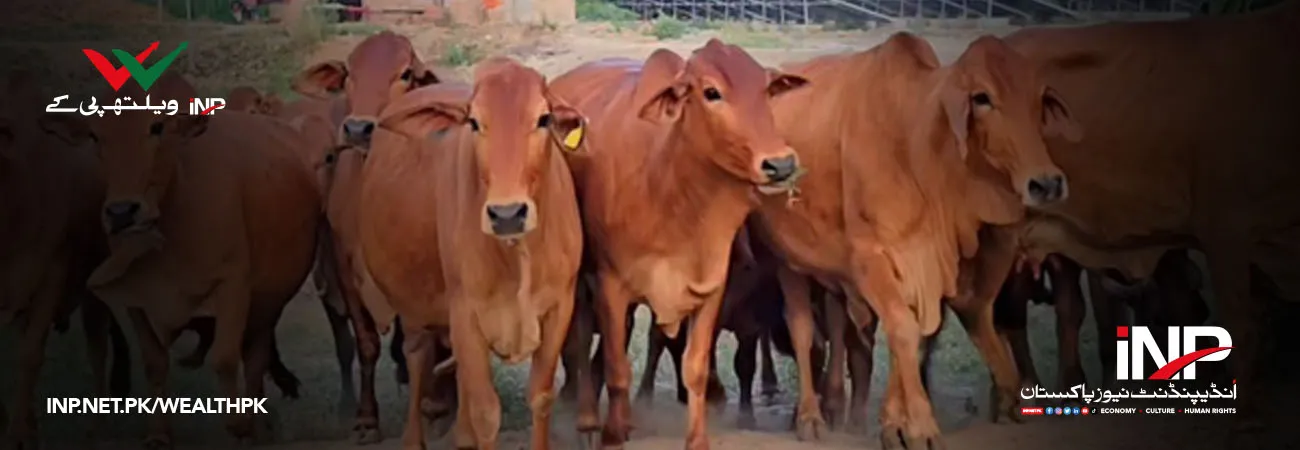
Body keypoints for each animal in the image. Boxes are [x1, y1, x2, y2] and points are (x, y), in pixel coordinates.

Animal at [2, 72, 130, 449]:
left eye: (6, 129)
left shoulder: (51, 272)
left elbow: (30, 355)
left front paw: (16, 435)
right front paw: (20, 428)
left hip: (92, 294)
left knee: (97, 350)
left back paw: (96, 427)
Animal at [37, 73, 322, 447]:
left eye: (156, 126)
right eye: (96, 135)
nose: (121, 212)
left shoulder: (233, 287)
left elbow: (225, 359)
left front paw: (239, 425)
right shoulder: (135, 298)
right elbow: (154, 363)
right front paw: (159, 434)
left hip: (267, 305)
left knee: (254, 356)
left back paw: (257, 422)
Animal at [358, 57, 586, 450]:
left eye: (543, 119)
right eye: (474, 122)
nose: (507, 214)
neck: (517, 253)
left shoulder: (560, 307)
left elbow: (540, 398)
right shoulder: (466, 313)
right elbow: (486, 414)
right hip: (414, 308)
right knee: (417, 356)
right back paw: (414, 437)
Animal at [547, 38, 808, 450]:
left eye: (766, 90)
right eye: (711, 92)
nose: (780, 164)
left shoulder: (710, 289)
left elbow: (696, 367)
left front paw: (697, 439)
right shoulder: (610, 286)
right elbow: (617, 368)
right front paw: (612, 434)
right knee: (579, 340)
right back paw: (588, 420)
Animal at [754, 31, 1080, 448]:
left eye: (1039, 99)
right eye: (982, 98)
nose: (1047, 183)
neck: (915, 147)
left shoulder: (926, 265)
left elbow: (912, 333)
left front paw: (895, 425)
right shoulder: (871, 259)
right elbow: (904, 331)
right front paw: (921, 426)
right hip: (789, 263)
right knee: (802, 331)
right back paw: (810, 417)